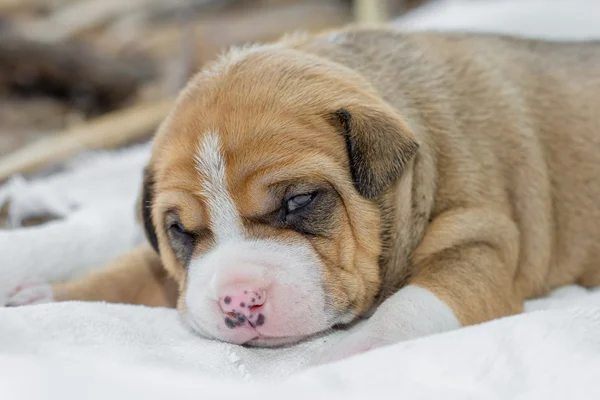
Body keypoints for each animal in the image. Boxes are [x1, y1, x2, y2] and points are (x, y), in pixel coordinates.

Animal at [8, 25, 600, 362]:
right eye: (179, 230)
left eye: (298, 202)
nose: (236, 300)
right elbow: (128, 273)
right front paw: (50, 295)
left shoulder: (480, 248)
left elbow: (408, 309)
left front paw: (336, 359)